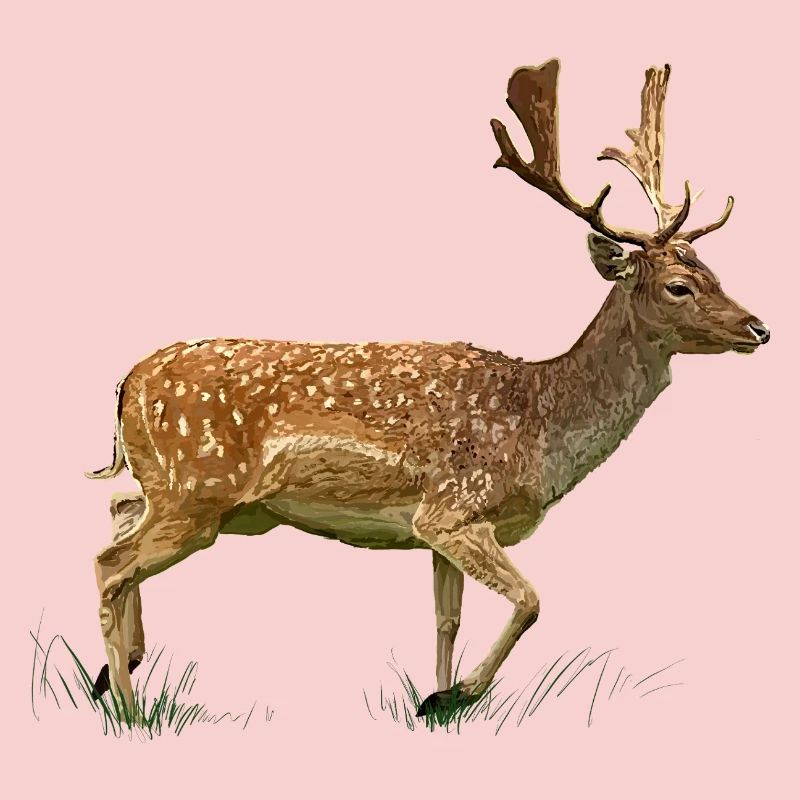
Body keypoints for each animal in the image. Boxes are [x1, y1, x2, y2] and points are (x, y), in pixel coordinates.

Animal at [87, 59, 769, 717]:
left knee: (117, 514)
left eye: (715, 272)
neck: (540, 421)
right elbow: (531, 600)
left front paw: (435, 699)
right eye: (679, 286)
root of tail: (126, 382)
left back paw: (116, 672)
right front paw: (460, 692)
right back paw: (126, 703)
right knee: (109, 564)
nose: (759, 327)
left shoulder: (433, 530)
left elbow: (447, 619)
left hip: (200, 499)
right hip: (198, 491)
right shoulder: (454, 507)